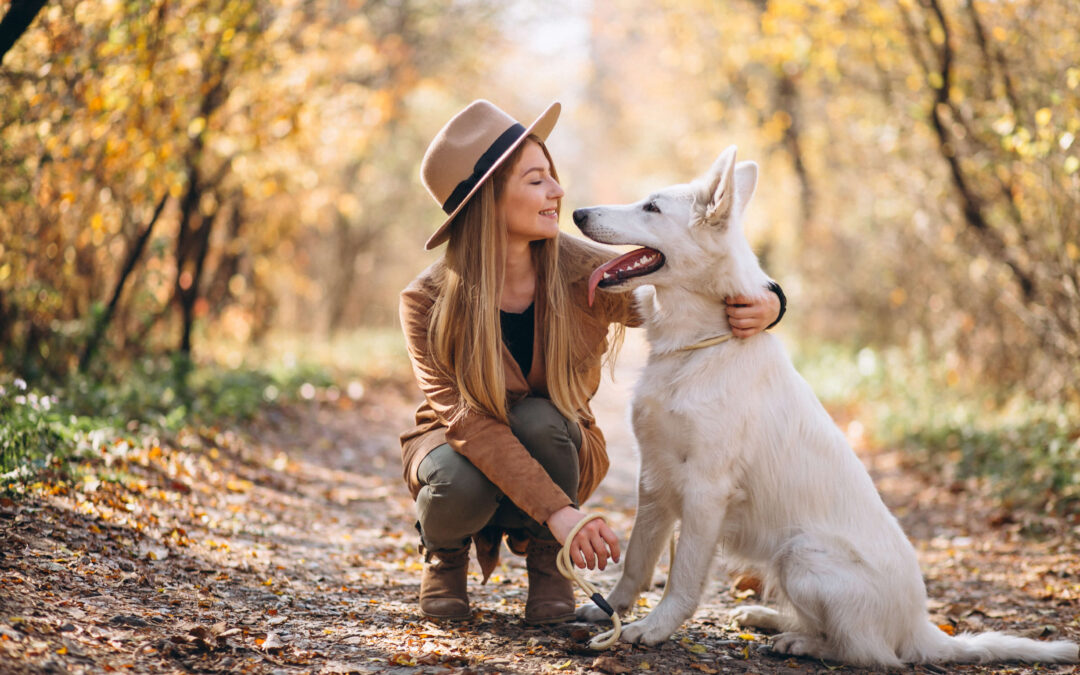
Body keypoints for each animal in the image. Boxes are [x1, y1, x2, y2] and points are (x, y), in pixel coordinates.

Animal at [570, 146, 1075, 669]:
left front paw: (652, 628)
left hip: (802, 554)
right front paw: (611, 610)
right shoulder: (654, 479)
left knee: (866, 652)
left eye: (651, 207)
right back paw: (767, 618)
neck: (700, 345)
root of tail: (922, 628)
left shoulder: (705, 491)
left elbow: (682, 578)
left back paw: (799, 642)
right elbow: (636, 560)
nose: (577, 213)